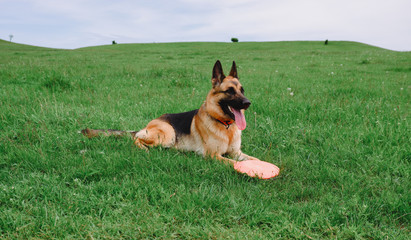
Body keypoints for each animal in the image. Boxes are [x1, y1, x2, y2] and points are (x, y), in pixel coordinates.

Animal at [81, 60, 260, 165]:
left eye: (242, 90)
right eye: (229, 91)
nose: (247, 103)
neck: (225, 125)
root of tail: (147, 125)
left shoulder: (236, 152)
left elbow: (254, 159)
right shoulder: (213, 155)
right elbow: (238, 164)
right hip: (168, 134)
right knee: (136, 139)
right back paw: (144, 149)